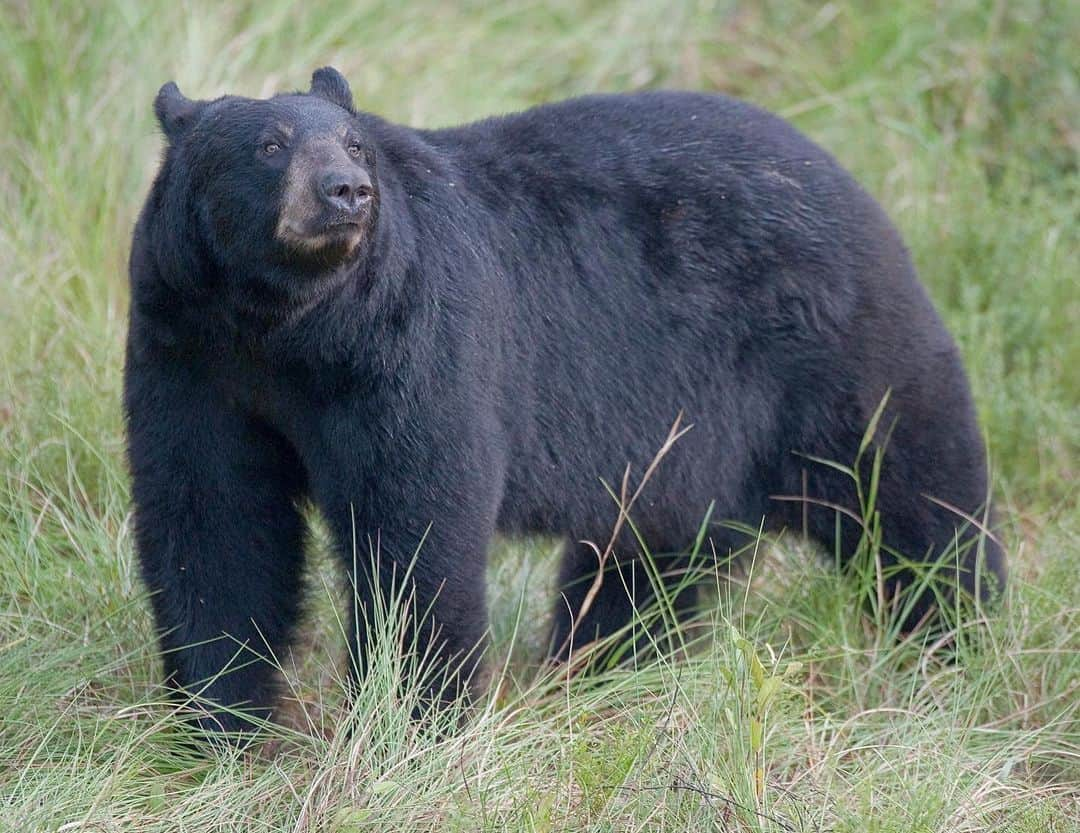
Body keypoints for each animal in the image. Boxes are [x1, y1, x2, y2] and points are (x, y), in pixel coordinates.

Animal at [124, 66, 1002, 734]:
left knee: (914, 496)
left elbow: (414, 519)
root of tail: (852, 183)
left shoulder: (411, 348)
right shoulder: (189, 356)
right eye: (269, 146)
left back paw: (959, 637)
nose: (348, 191)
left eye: (354, 141)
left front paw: (412, 718)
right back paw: (601, 666)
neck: (287, 330)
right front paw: (218, 722)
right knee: (651, 558)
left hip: (833, 360)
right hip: (687, 438)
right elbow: (212, 521)